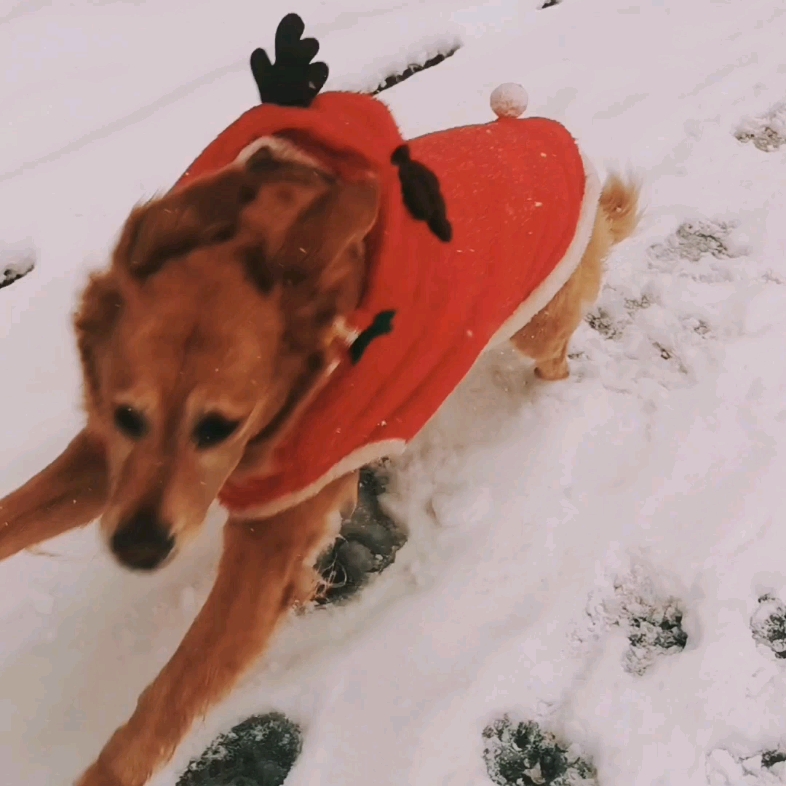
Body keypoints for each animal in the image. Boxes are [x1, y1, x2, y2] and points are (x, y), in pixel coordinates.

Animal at [0, 13, 636, 784]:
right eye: (129, 414)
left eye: (223, 425)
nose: (140, 548)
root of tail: (547, 131)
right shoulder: (106, 456)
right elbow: (15, 514)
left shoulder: (269, 540)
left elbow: (166, 696)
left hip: (538, 327)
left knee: (558, 354)